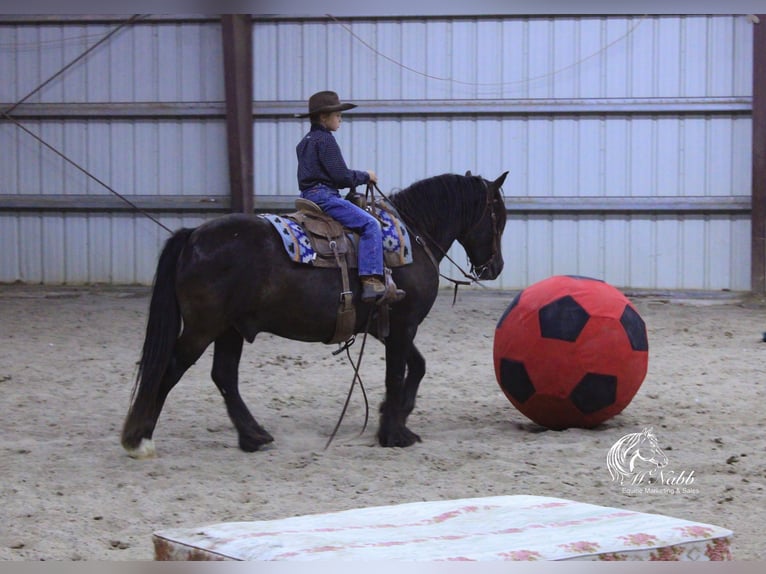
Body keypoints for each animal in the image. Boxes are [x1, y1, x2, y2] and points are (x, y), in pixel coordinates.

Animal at [120, 171, 510, 460]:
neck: (413, 238)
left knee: (224, 376)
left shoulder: (388, 328)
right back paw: (141, 440)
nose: (495, 267)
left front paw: (395, 414)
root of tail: (192, 236)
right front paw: (394, 432)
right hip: (203, 328)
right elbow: (396, 374)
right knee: (171, 368)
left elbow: (417, 367)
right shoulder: (403, 325)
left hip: (230, 329)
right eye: (499, 219)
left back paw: (254, 436)